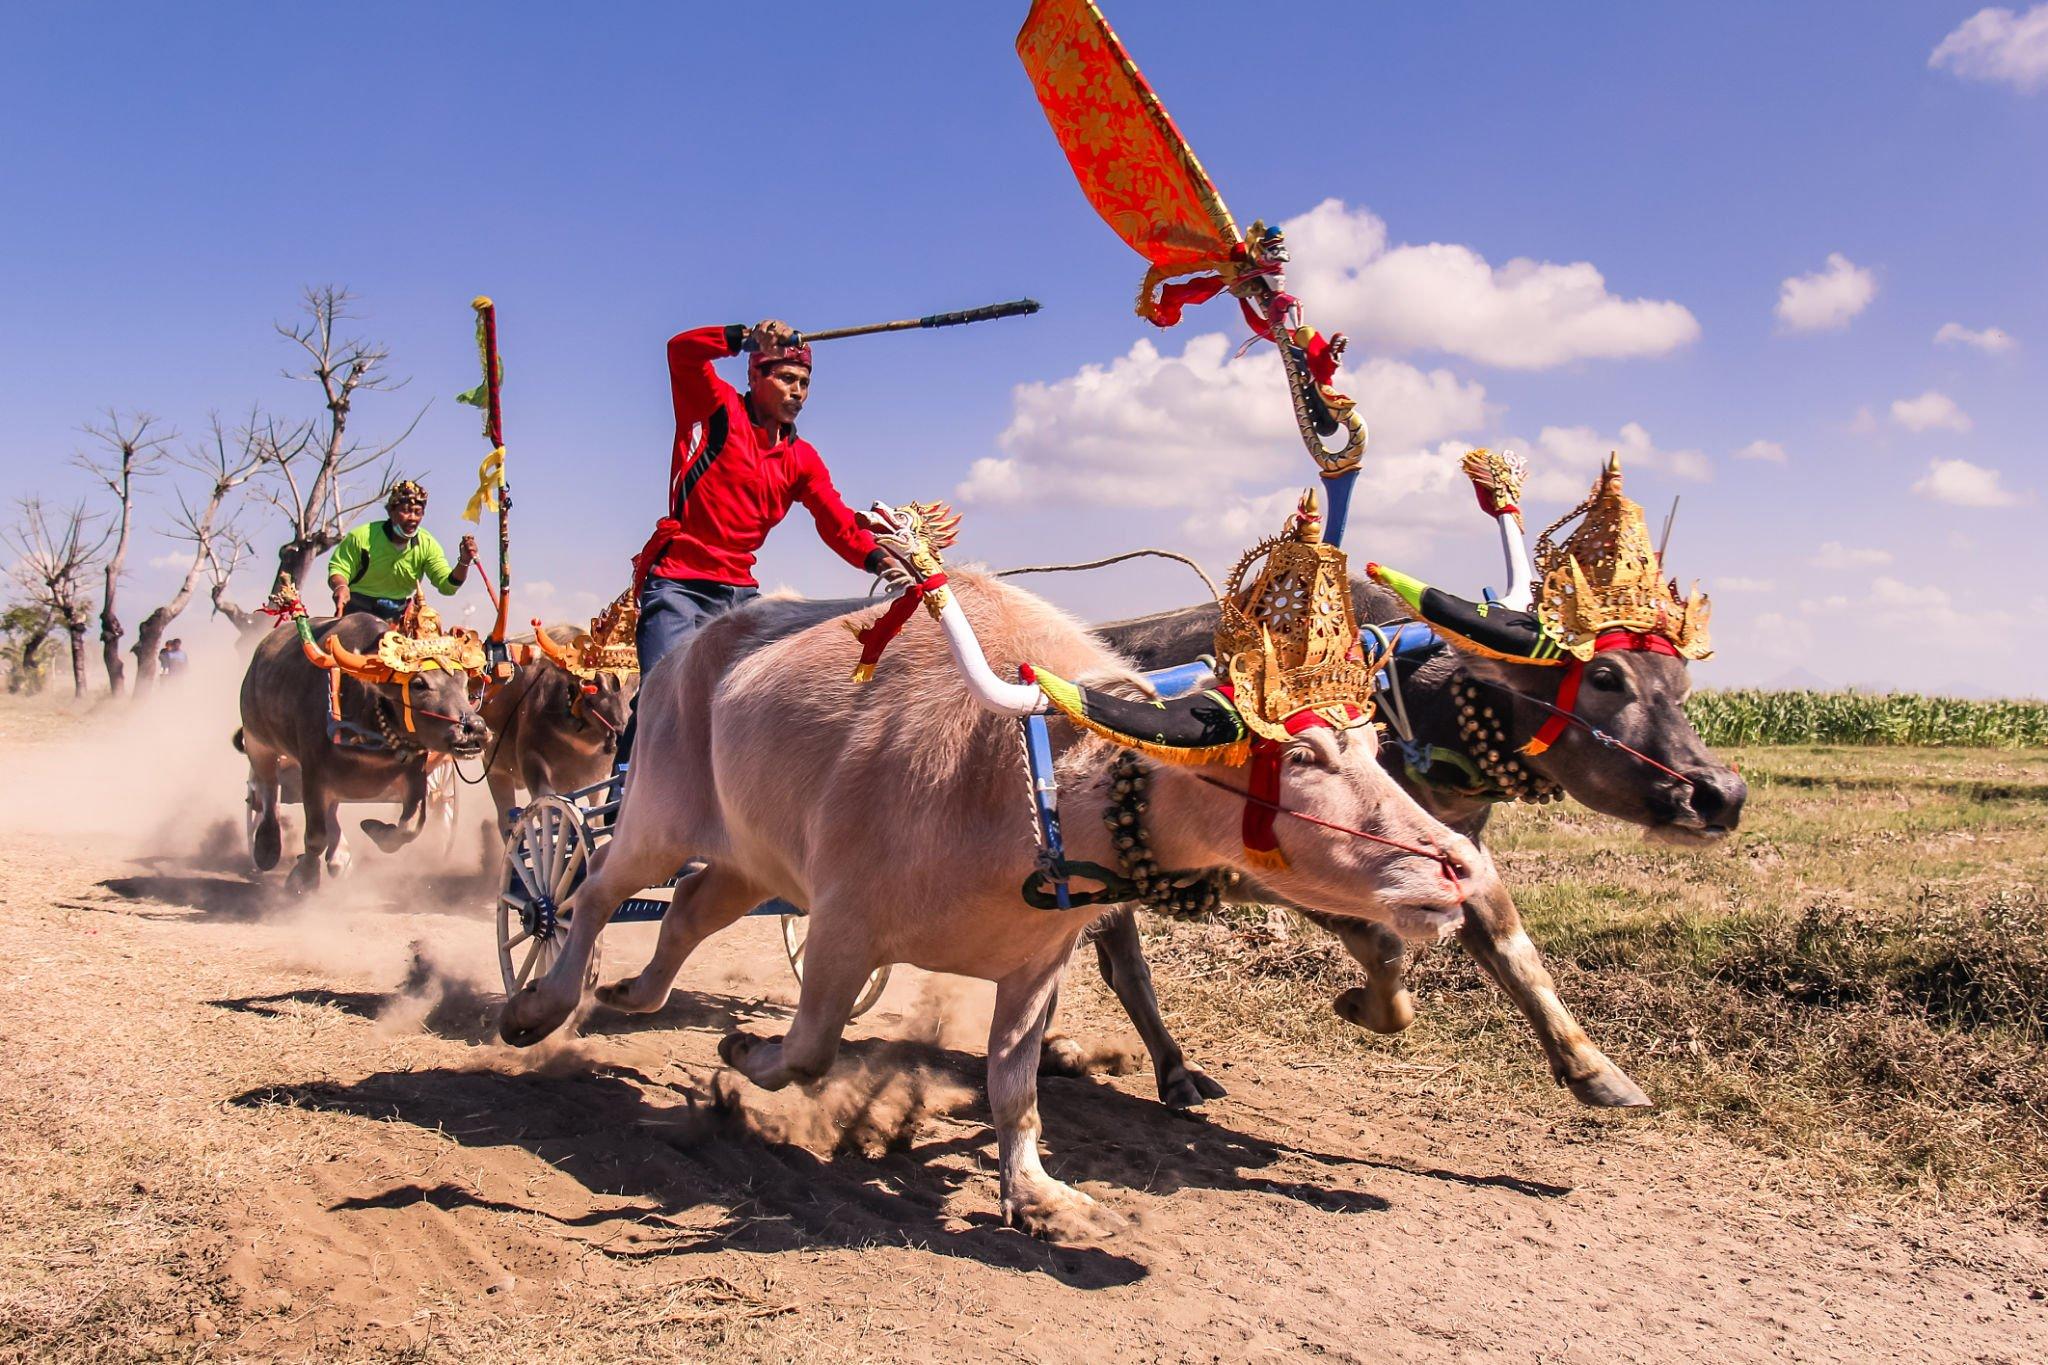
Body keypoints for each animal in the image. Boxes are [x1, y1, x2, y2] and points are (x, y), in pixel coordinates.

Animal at [234, 609, 487, 892]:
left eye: (464, 682)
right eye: (419, 684)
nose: (474, 728)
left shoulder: (415, 771)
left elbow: (411, 825)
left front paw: (376, 830)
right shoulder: (312, 772)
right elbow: (315, 835)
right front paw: (304, 877)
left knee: (329, 808)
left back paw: (339, 857)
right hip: (257, 741)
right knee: (267, 789)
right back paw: (267, 845)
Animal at [495, 532, 1490, 1236]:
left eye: (1373, 740)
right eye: (1306, 756)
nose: (1461, 865)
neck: (1029, 782)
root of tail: (681, 661)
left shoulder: (1035, 963)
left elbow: (1014, 1088)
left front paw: (1043, 1193)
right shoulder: (842, 926)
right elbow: (810, 1048)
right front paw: (744, 1053)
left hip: (748, 859)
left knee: (691, 912)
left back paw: (630, 993)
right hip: (656, 815)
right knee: (589, 893)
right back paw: (541, 1004)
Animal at [1081, 573, 1753, 1113]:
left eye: (1683, 684)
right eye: (1607, 677)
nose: (1720, 793)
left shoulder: (1463, 852)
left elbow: (1516, 952)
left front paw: (1595, 1070)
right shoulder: (1278, 870)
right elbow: (1382, 947)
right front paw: (1360, 1006)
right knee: (1129, 968)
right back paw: (1174, 1072)